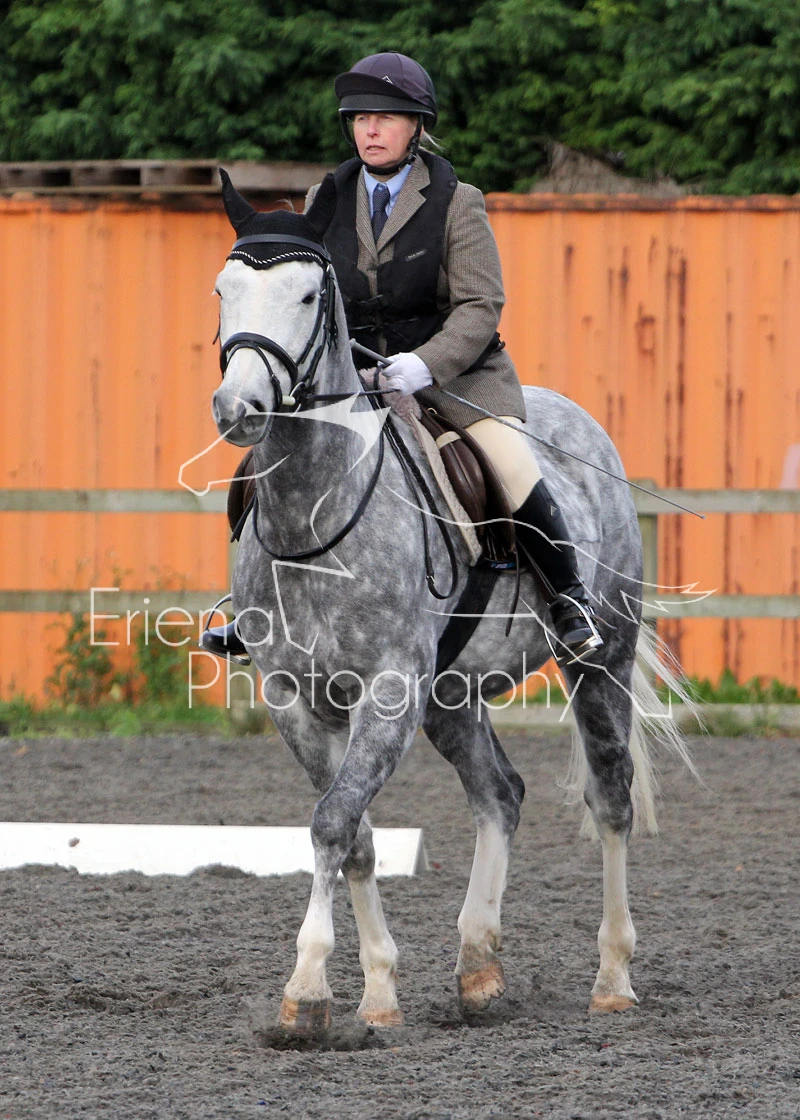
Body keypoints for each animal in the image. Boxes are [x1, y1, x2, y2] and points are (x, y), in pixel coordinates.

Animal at [209, 170, 692, 1034]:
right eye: (223, 290)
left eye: (308, 295)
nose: (240, 410)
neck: (315, 509)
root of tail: (578, 420)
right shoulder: (294, 697)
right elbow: (354, 830)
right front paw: (374, 992)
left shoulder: (389, 691)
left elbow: (333, 820)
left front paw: (306, 989)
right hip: (451, 694)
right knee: (499, 793)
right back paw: (477, 967)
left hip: (599, 656)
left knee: (610, 798)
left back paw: (612, 977)